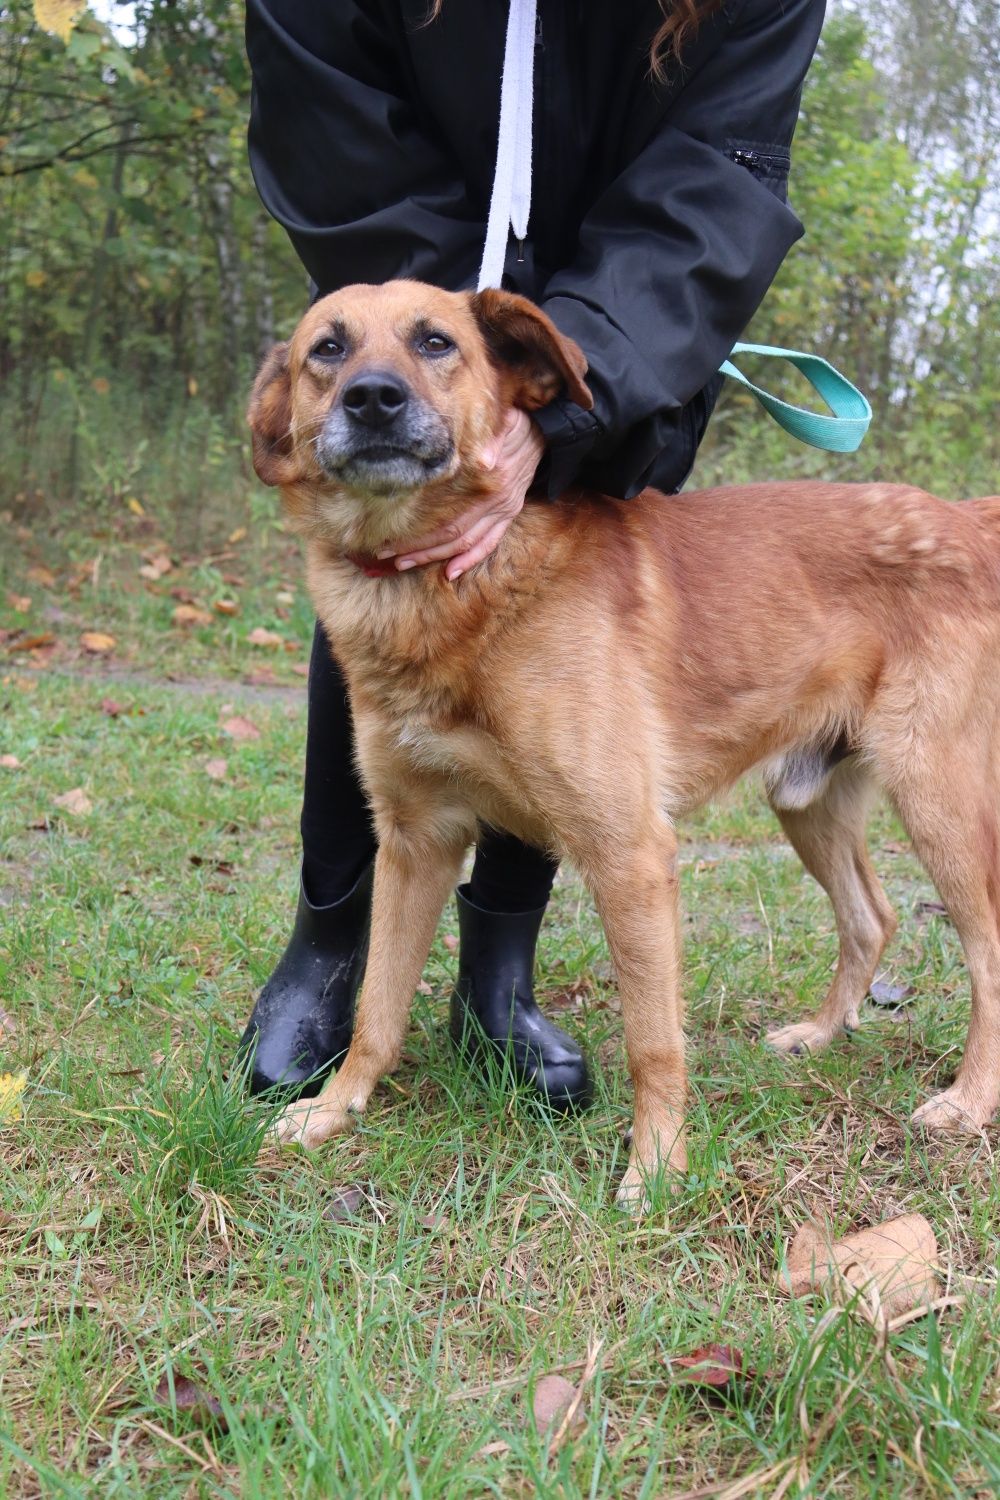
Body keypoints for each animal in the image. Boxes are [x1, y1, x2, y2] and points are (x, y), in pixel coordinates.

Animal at [248, 282, 1000, 1212]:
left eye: (435, 343)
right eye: (327, 348)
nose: (373, 399)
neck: (447, 590)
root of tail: (963, 519)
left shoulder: (629, 853)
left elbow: (654, 1040)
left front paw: (658, 1166)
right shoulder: (414, 844)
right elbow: (375, 1011)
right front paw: (334, 1110)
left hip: (939, 803)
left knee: (986, 953)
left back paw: (968, 1100)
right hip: (808, 801)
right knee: (873, 916)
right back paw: (821, 1034)